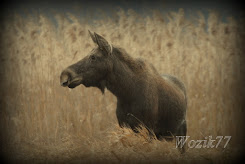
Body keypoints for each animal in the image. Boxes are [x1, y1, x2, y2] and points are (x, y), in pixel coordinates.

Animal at [59, 31, 188, 152]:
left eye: (93, 57)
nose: (65, 75)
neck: (127, 93)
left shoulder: (148, 129)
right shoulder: (124, 126)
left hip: (180, 132)